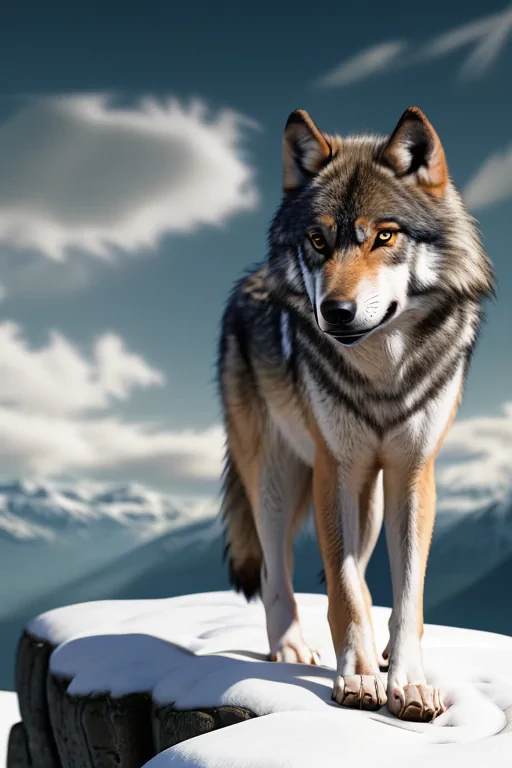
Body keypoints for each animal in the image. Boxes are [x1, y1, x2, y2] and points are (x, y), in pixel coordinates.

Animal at [217, 106, 494, 721]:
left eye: (384, 235)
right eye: (318, 240)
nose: (334, 312)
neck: (382, 374)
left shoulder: (414, 472)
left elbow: (407, 594)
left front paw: (408, 682)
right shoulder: (333, 469)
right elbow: (341, 592)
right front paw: (358, 677)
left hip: (370, 494)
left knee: (363, 572)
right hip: (278, 478)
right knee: (276, 570)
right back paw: (291, 647)